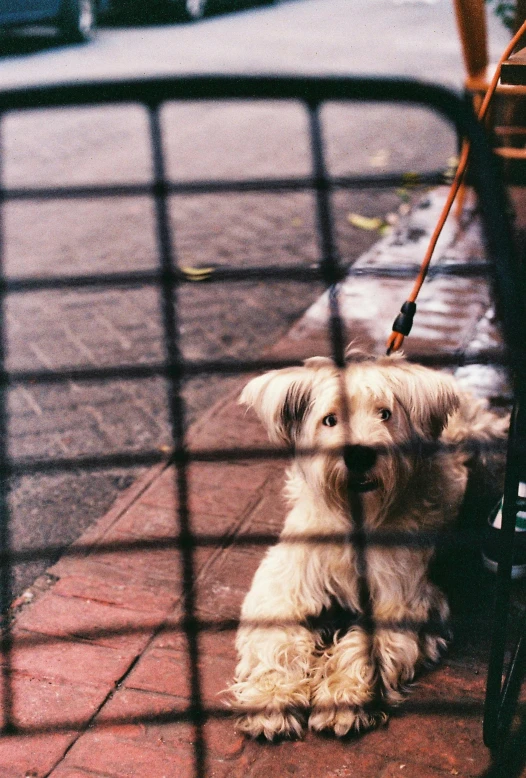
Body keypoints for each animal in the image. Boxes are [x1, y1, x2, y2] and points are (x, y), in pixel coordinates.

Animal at [229, 348, 510, 736]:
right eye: (330, 420)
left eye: (385, 414)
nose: (359, 454)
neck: (355, 519)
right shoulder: (283, 588)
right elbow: (276, 641)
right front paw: (271, 697)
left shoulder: (400, 599)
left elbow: (365, 646)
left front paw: (343, 696)